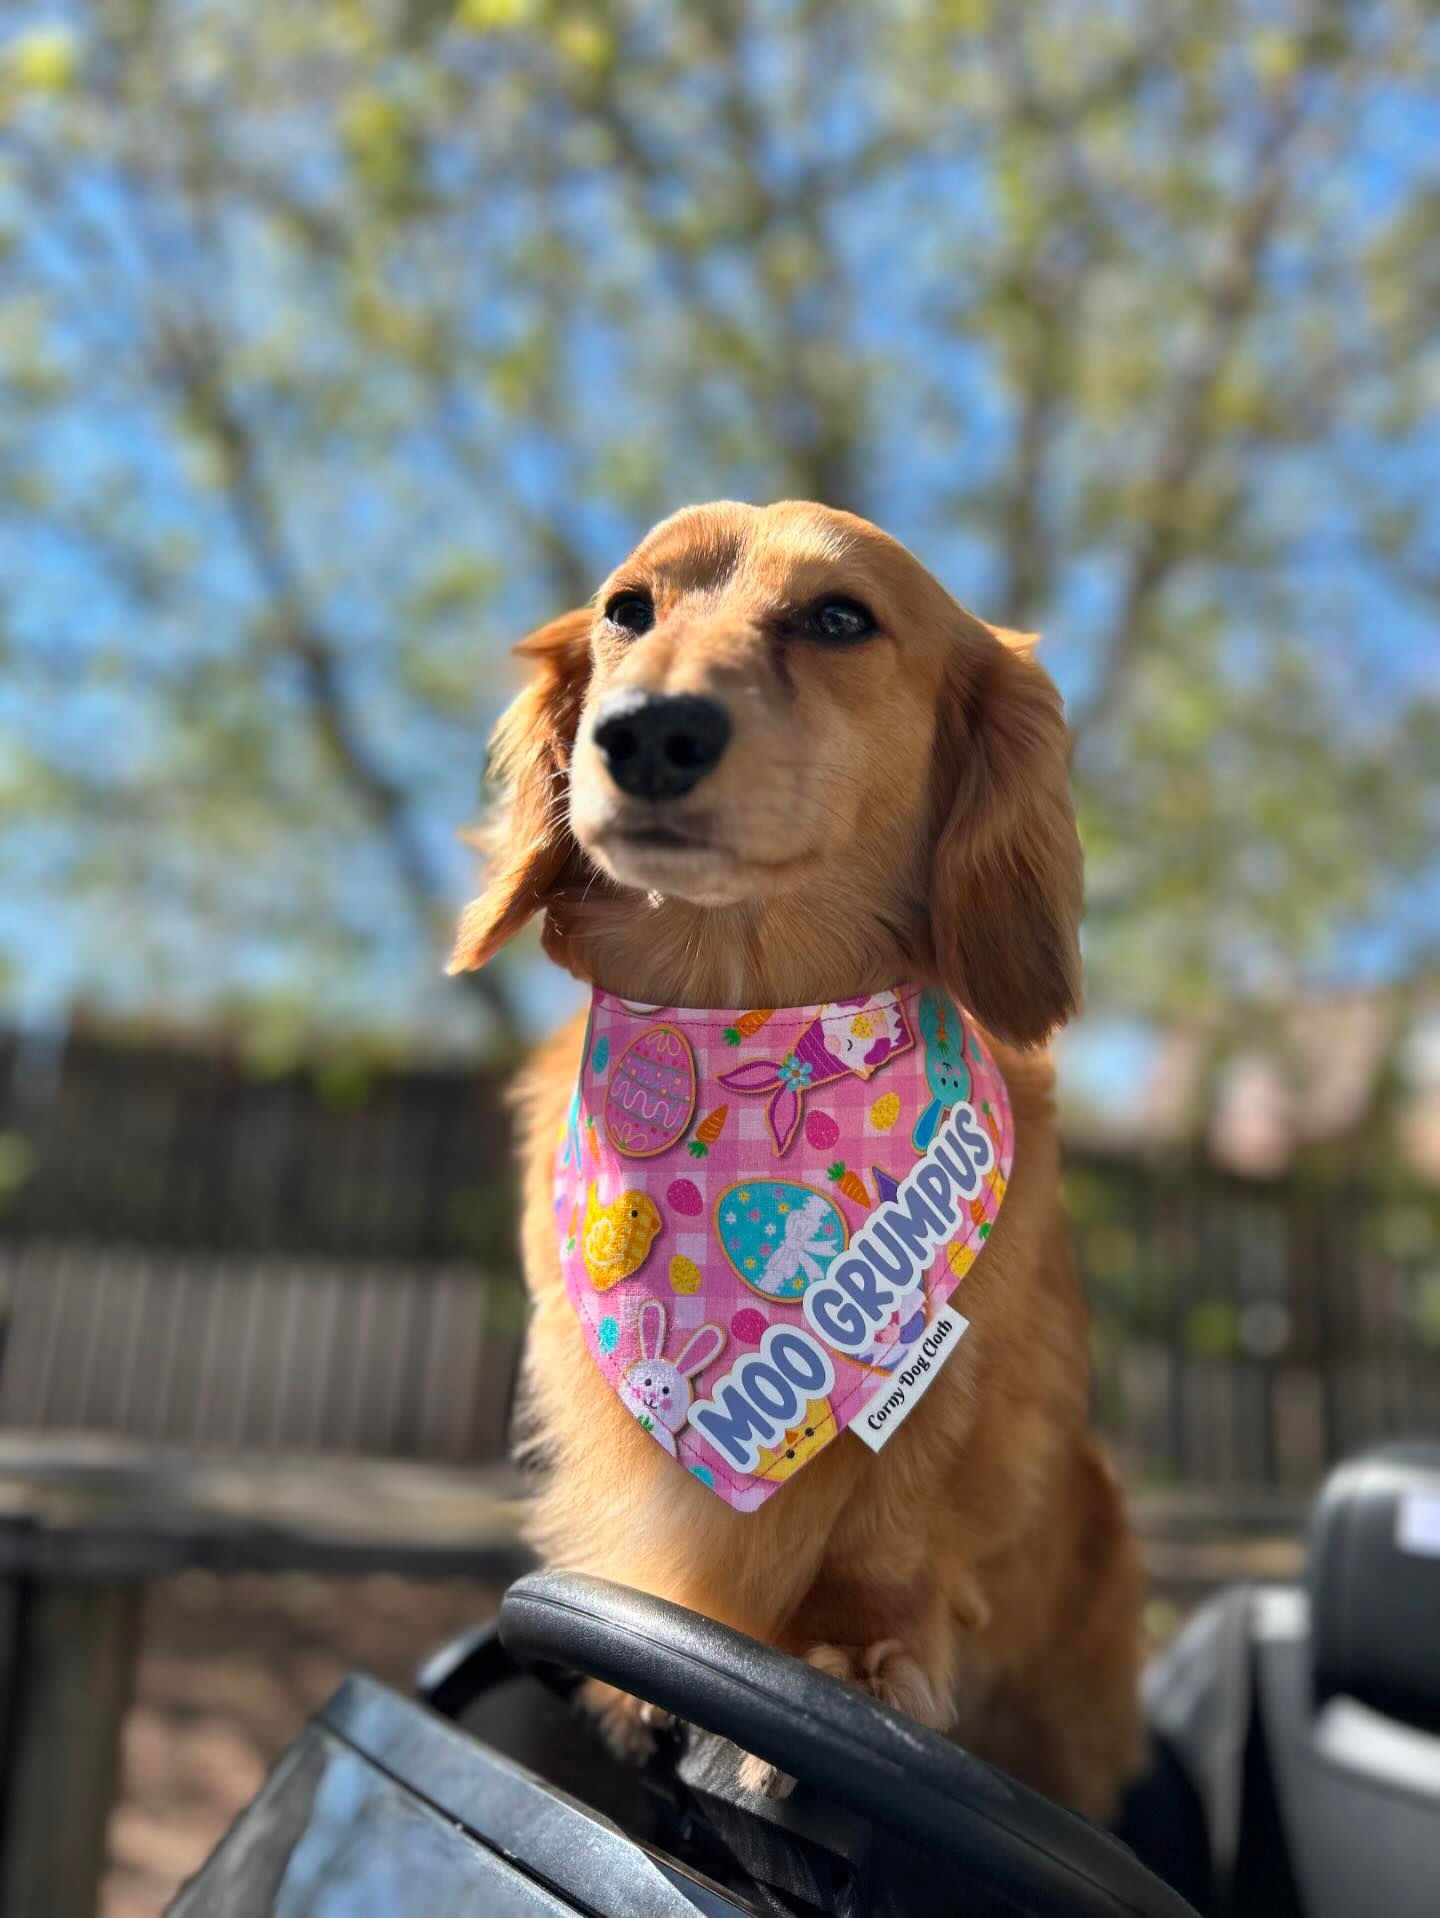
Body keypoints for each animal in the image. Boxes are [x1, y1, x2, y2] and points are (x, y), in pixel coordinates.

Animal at [450, 494, 1150, 1810]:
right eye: (628, 608)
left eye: (838, 618)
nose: (646, 733)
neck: (754, 1013)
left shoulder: (963, 1393)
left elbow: (896, 1514)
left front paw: (853, 1651)